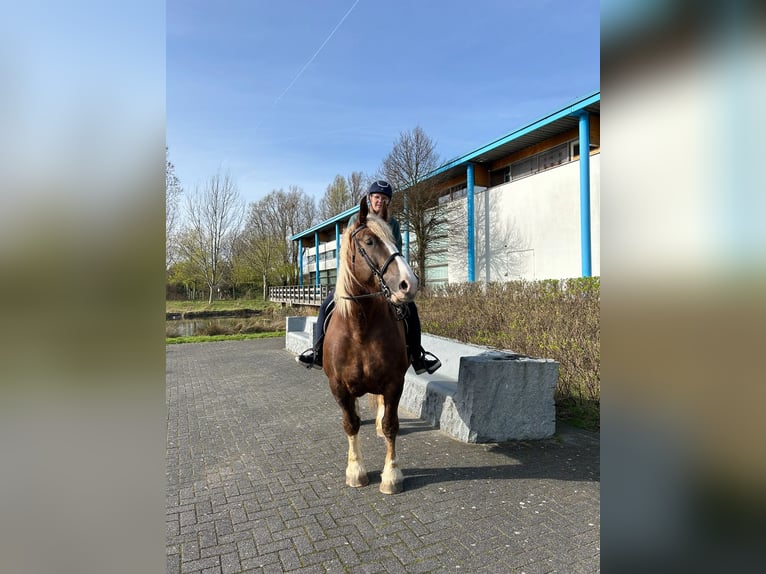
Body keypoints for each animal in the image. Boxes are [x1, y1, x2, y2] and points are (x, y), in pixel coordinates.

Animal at [324, 197, 420, 496]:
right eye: (369, 241)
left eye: (396, 241)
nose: (409, 284)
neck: (360, 327)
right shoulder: (338, 387)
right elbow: (350, 424)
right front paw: (355, 470)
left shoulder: (394, 383)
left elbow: (390, 425)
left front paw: (391, 475)